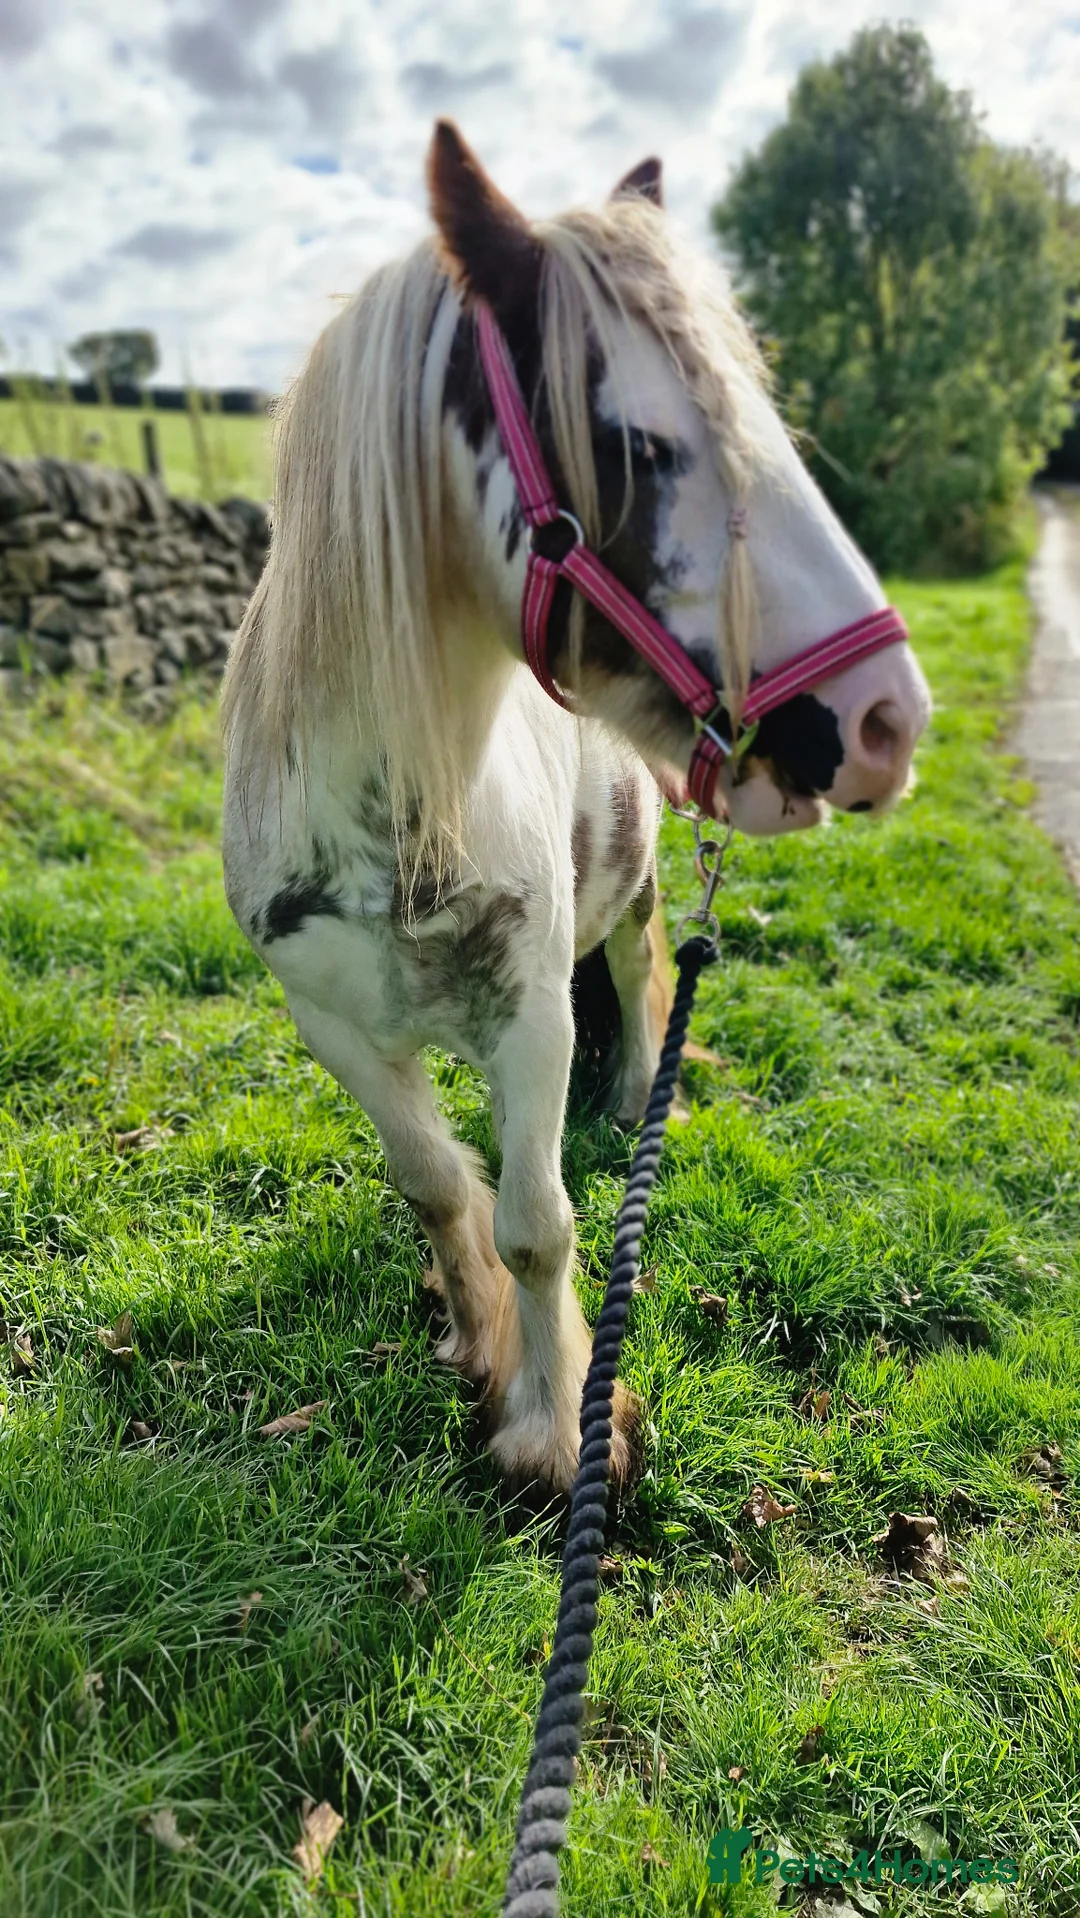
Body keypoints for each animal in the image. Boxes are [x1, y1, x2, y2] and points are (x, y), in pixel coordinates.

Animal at [221, 122, 931, 1493]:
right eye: (639, 447)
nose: (887, 721)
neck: (402, 824)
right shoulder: (329, 1023)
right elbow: (438, 1185)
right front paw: (476, 1336)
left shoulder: (534, 1010)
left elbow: (540, 1223)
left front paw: (556, 1429)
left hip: (641, 899)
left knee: (646, 986)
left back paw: (632, 1097)